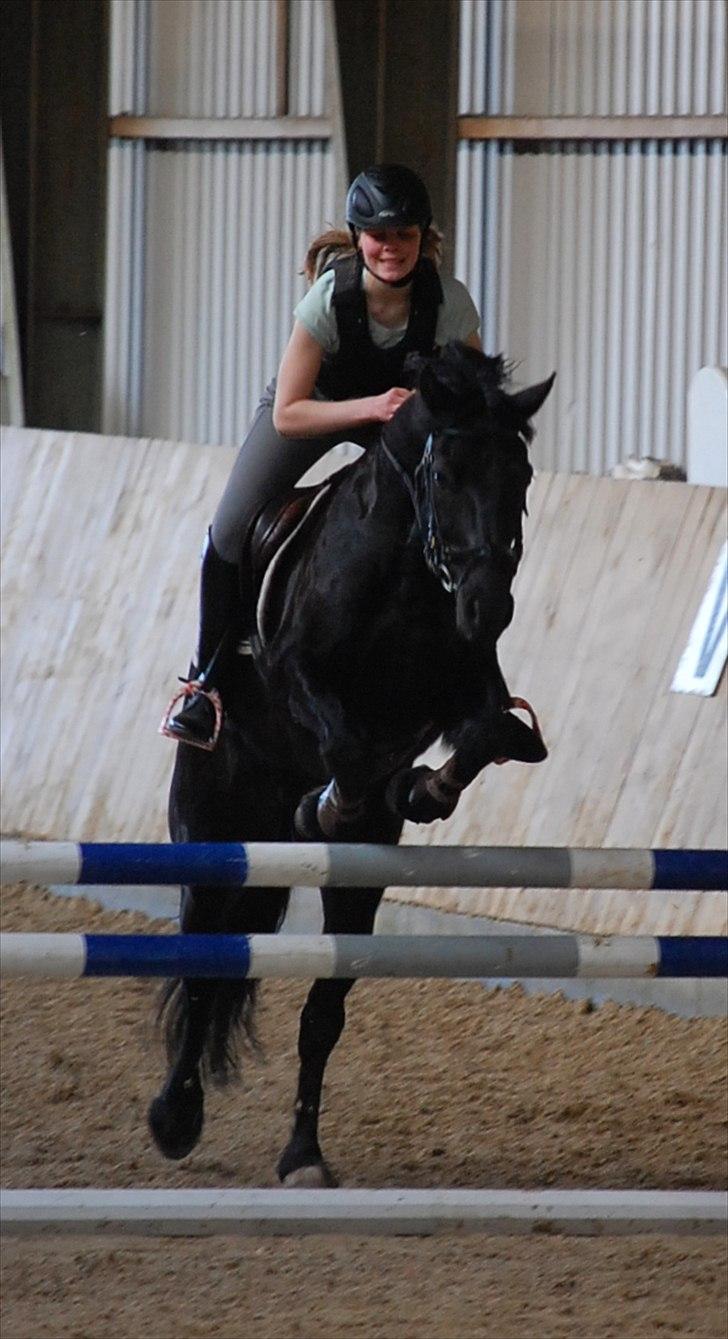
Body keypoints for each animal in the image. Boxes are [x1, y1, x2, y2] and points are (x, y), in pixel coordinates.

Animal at [150, 342, 554, 1183]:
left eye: (523, 475)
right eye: (446, 473)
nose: (489, 608)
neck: (406, 573)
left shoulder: (465, 686)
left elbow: (490, 733)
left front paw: (422, 789)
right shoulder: (297, 672)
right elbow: (347, 747)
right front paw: (334, 800)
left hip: (355, 886)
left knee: (322, 1010)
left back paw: (303, 1152)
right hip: (211, 831)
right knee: (204, 965)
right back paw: (175, 1116)